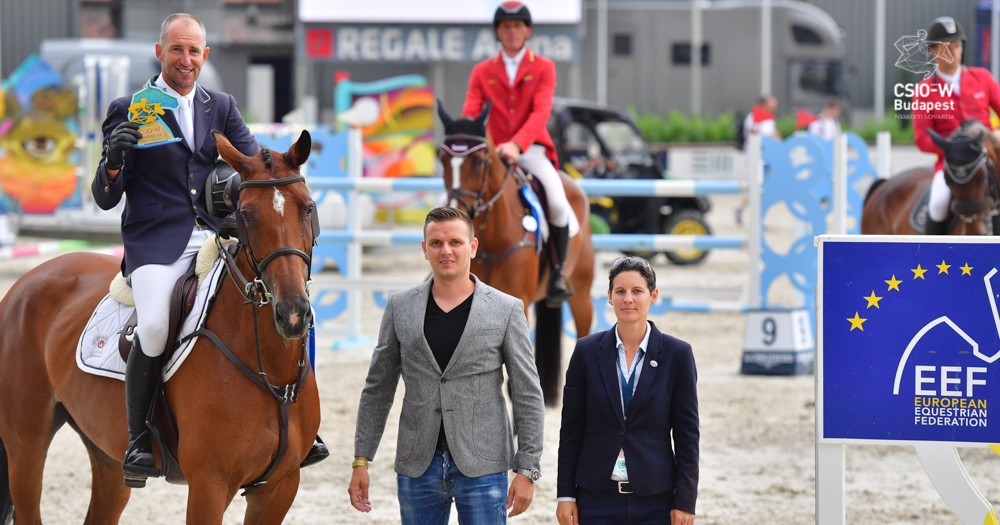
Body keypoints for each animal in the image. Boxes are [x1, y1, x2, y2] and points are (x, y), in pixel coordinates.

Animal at [0, 130, 320, 520]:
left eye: (307, 207)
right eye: (246, 214)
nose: (292, 314)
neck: (272, 373)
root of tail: (25, 282)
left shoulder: (278, 488)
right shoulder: (209, 485)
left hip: (106, 456)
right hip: (26, 444)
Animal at [438, 103, 592, 406]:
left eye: (480, 160)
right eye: (442, 159)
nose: (455, 212)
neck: (489, 238)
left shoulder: (517, 301)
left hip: (581, 294)